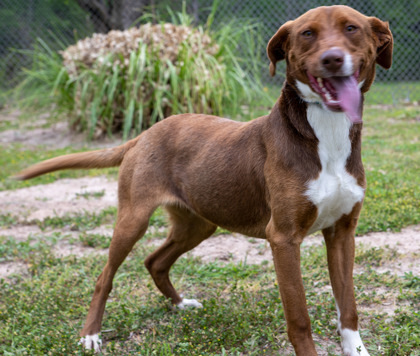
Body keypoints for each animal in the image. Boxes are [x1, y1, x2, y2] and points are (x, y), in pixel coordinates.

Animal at [14, 5, 392, 356]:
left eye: (351, 28)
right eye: (307, 34)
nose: (332, 59)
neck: (326, 133)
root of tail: (143, 134)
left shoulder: (342, 232)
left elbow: (348, 308)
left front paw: (357, 350)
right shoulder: (283, 238)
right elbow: (299, 319)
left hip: (198, 222)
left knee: (155, 261)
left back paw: (180, 304)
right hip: (133, 219)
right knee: (104, 276)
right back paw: (90, 334)